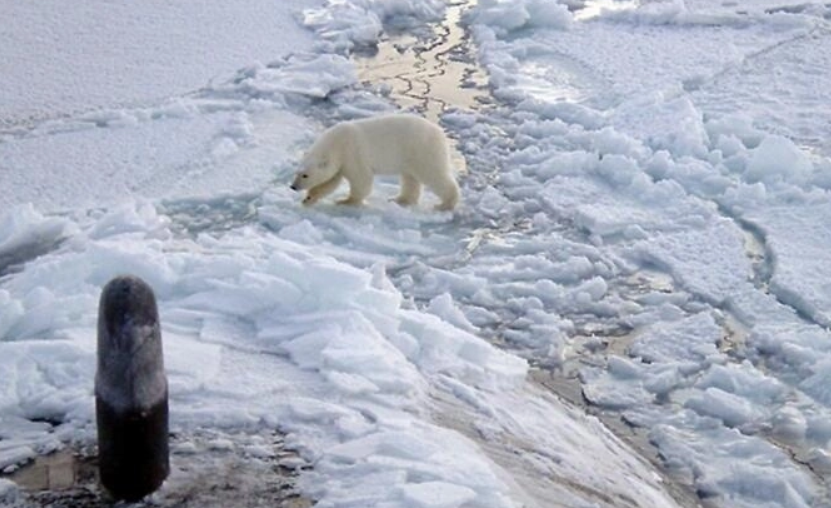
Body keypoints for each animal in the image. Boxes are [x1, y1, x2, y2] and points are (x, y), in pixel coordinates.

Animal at [290, 114, 462, 210]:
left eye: (305, 175)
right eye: (297, 172)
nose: (293, 187)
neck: (337, 142)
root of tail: (440, 133)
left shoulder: (353, 154)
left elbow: (361, 179)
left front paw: (346, 201)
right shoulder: (340, 161)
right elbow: (330, 182)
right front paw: (308, 199)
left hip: (422, 150)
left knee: (433, 174)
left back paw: (445, 204)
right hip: (410, 156)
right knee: (410, 178)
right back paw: (401, 199)